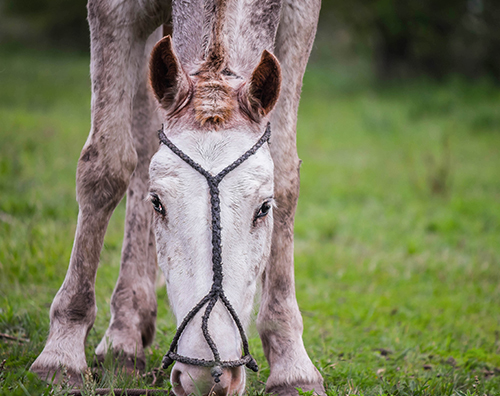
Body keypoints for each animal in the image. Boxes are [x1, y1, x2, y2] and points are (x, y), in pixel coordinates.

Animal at [31, 0, 326, 394]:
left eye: (264, 208)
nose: (205, 378)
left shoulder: (301, 14)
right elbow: (105, 166)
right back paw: (123, 336)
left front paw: (292, 363)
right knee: (140, 143)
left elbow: (287, 172)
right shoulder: (113, 12)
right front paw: (61, 351)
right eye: (158, 203)